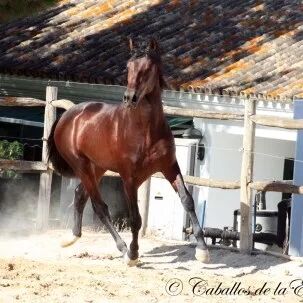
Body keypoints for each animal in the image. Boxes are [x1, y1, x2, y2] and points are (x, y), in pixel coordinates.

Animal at [47, 37, 210, 266]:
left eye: (148, 68)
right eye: (128, 67)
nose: (129, 97)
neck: (145, 131)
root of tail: (67, 115)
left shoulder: (169, 166)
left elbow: (187, 200)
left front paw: (203, 251)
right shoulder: (129, 178)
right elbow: (135, 218)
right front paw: (133, 254)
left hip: (97, 167)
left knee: (80, 195)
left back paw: (71, 237)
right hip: (81, 166)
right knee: (99, 206)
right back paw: (123, 249)